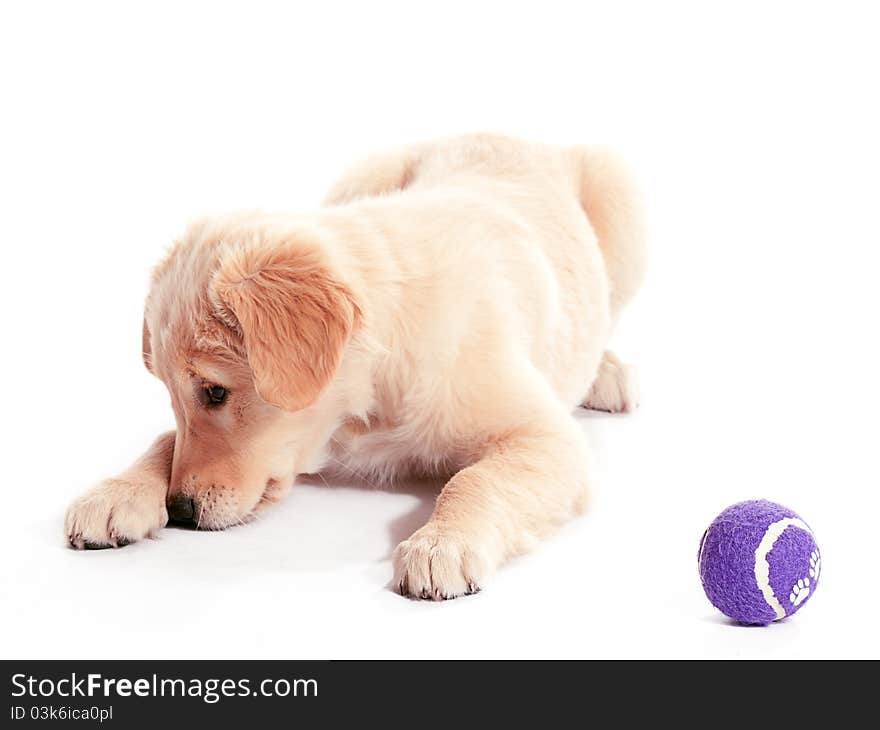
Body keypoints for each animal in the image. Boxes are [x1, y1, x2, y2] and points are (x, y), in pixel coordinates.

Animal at [62, 132, 644, 596]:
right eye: (172, 395)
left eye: (215, 392)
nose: (179, 509)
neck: (367, 399)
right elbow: (165, 440)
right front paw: (115, 493)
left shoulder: (544, 435)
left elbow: (477, 480)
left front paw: (442, 545)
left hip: (621, 204)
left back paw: (606, 373)